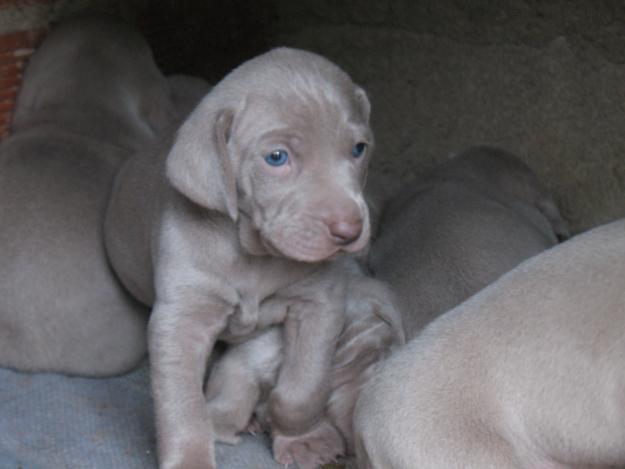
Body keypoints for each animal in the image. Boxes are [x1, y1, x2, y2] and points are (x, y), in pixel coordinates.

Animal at [105, 48, 372, 468]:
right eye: (276, 157)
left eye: (359, 149)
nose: (349, 230)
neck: (252, 254)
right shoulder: (181, 319)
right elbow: (182, 406)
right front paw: (191, 460)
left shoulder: (318, 304)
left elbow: (303, 387)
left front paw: (303, 439)